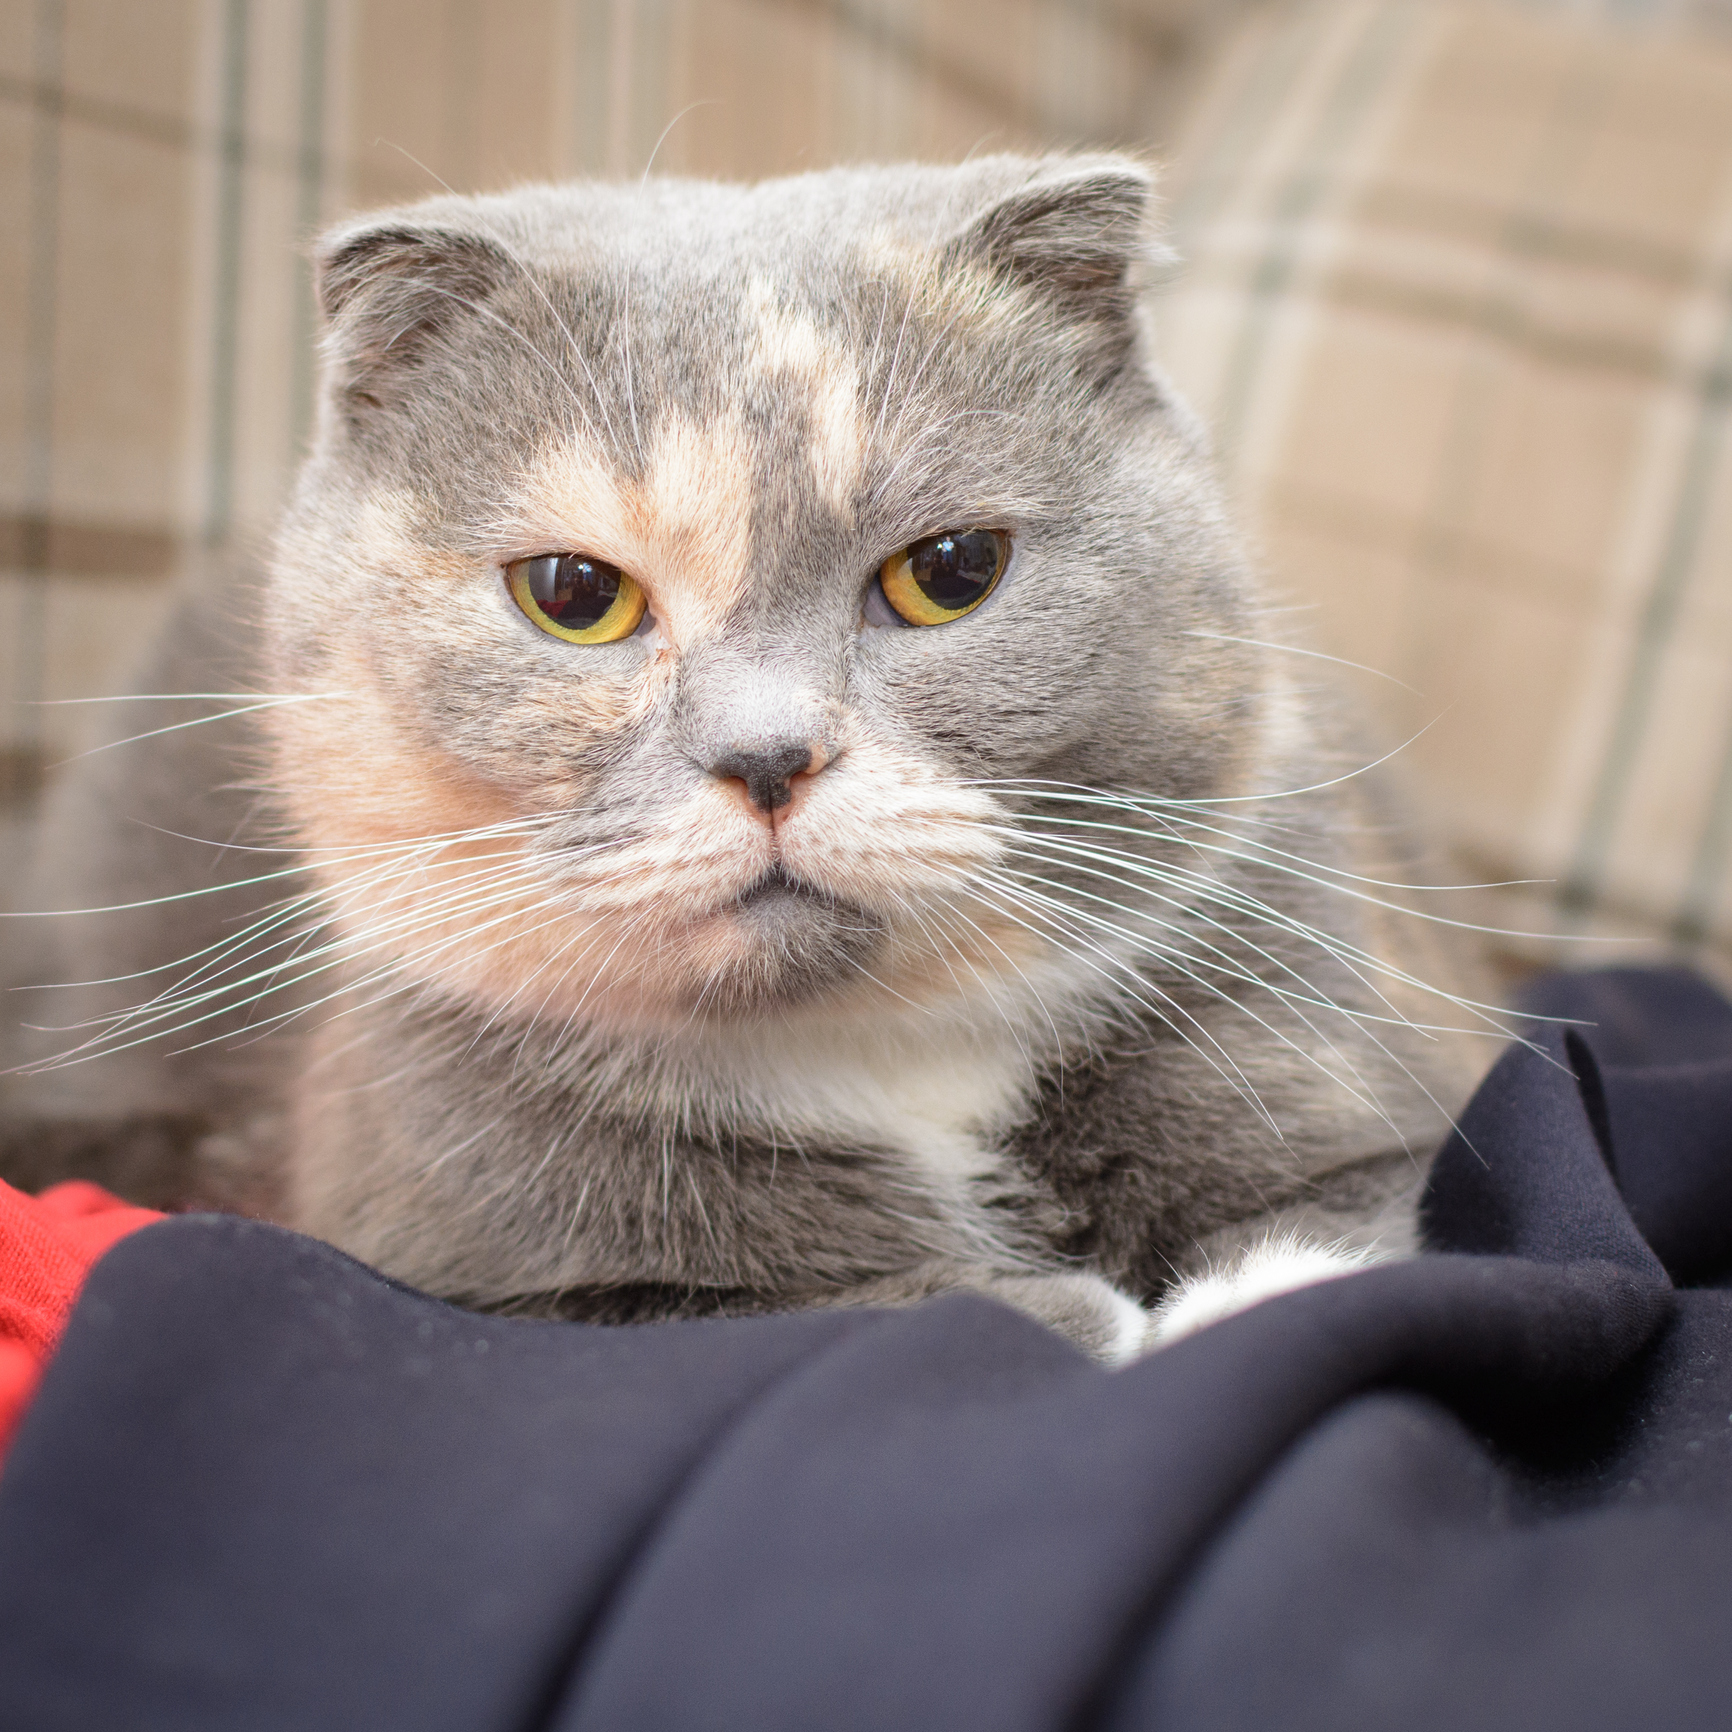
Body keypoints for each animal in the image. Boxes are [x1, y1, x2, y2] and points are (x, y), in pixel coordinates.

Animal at [0, 155, 1496, 1357]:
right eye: (573, 593)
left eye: (952, 572)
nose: (768, 753)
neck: (884, 1066)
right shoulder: (473, 1258)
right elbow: (764, 1304)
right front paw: (1073, 1315)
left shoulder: (1350, 1067)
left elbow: (1333, 1218)